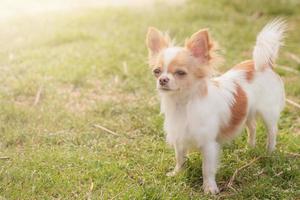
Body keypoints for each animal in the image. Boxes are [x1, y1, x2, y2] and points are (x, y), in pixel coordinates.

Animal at [146, 19, 288, 194]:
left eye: (180, 73)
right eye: (157, 71)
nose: (162, 80)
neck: (183, 103)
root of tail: (264, 64)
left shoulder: (209, 144)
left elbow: (207, 168)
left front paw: (209, 187)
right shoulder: (179, 136)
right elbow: (180, 157)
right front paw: (177, 173)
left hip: (268, 113)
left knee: (272, 132)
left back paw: (269, 152)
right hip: (246, 110)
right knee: (253, 127)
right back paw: (249, 148)